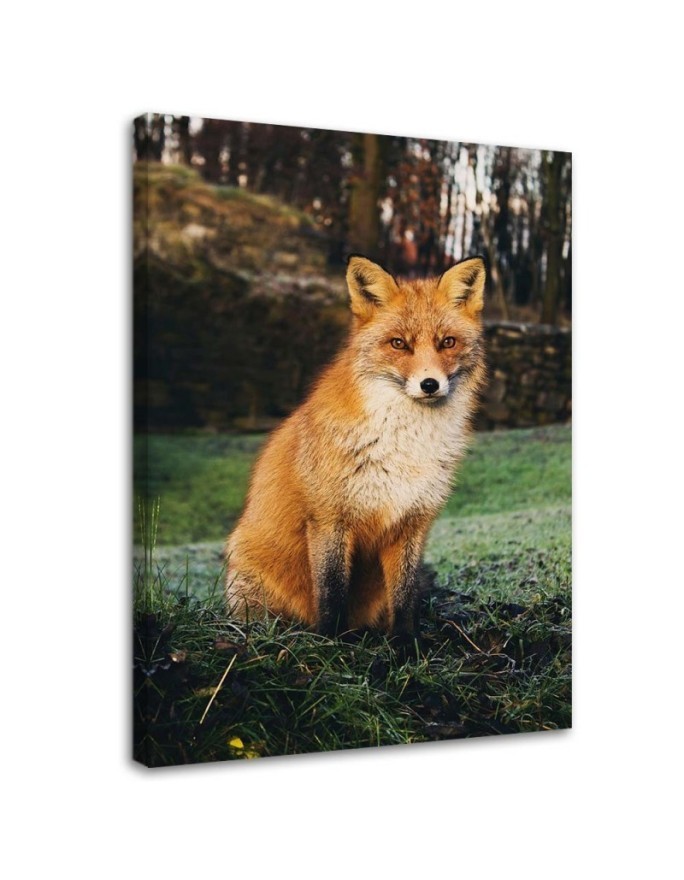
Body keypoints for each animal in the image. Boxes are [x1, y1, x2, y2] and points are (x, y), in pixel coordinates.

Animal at [225, 254, 487, 637]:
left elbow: (405, 596)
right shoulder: (329, 518)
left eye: (447, 342)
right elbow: (332, 592)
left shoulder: (413, 522)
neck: (404, 446)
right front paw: (331, 641)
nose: (429, 384)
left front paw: (406, 643)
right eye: (398, 344)